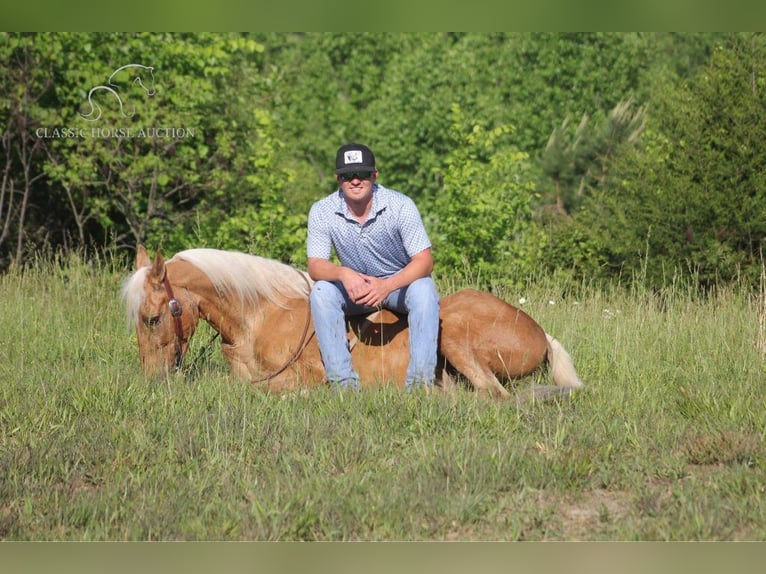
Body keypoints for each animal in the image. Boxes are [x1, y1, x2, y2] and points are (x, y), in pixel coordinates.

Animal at [123, 246, 584, 400]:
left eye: (152, 318)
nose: (152, 381)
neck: (259, 316)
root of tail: (541, 334)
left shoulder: (303, 374)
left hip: (453, 334)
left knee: (492, 395)